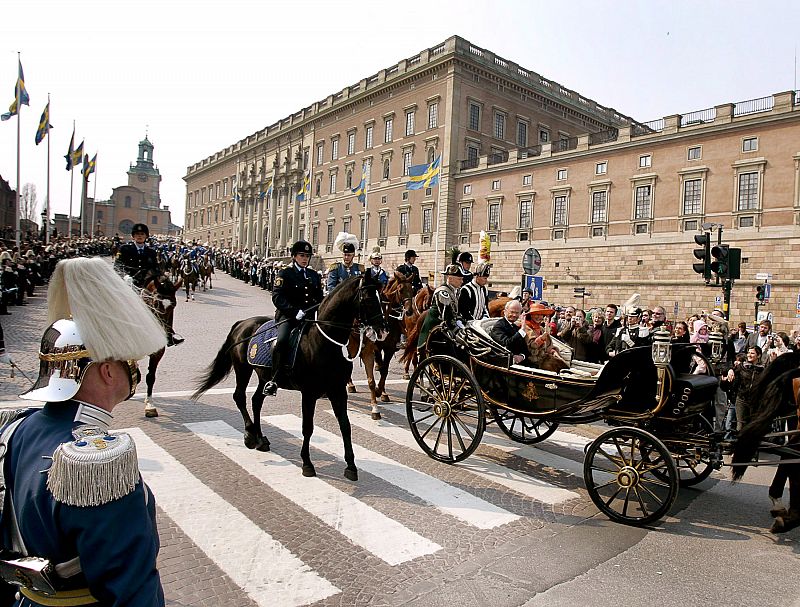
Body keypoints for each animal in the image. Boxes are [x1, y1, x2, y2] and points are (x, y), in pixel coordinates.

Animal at [142, 272, 184, 418]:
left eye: (174, 305)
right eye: (155, 303)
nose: (163, 332)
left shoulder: (158, 351)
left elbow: (150, 377)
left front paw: (149, 404)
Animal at [189, 274, 386, 480]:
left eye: (381, 297)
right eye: (368, 298)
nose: (382, 330)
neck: (325, 342)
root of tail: (242, 323)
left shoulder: (338, 390)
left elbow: (345, 426)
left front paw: (351, 466)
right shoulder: (309, 393)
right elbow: (307, 427)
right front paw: (307, 464)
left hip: (264, 376)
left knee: (256, 400)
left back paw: (260, 439)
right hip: (243, 369)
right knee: (239, 397)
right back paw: (250, 435)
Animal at [360, 274, 416, 420]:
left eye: (412, 290)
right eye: (401, 290)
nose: (409, 311)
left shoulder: (389, 349)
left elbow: (384, 370)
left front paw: (381, 392)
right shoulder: (376, 348)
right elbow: (381, 367)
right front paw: (378, 391)